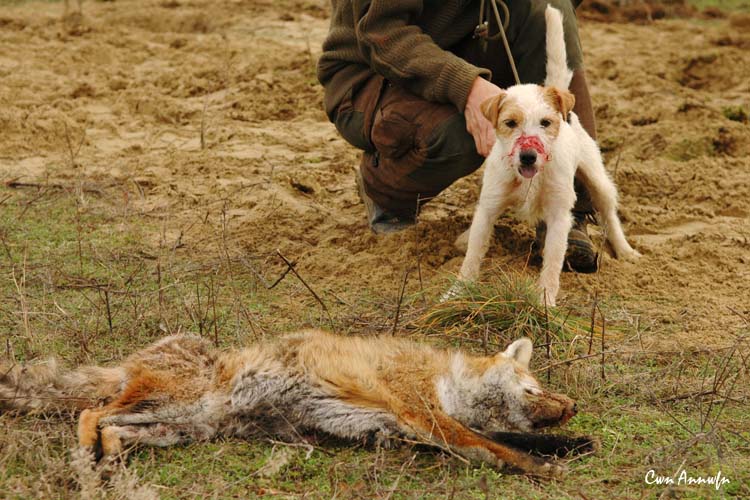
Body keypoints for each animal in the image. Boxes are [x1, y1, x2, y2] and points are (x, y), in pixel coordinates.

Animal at [452, 5, 640, 306]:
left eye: (545, 123)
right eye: (510, 123)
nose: (528, 156)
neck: (529, 178)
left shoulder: (559, 216)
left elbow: (552, 263)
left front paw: (545, 303)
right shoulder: (490, 205)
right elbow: (473, 255)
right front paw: (456, 293)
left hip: (597, 179)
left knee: (609, 213)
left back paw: (625, 251)